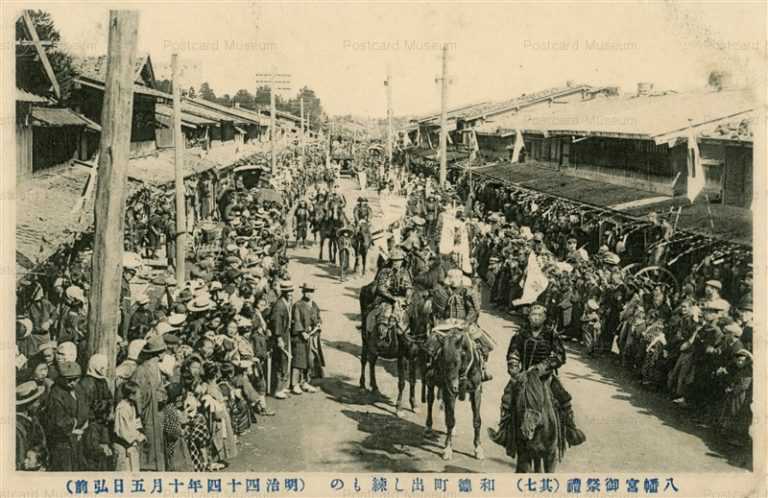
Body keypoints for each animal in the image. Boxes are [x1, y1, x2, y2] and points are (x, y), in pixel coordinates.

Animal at [424, 324, 484, 462]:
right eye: (442, 361)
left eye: (457, 361)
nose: (453, 386)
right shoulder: (449, 392)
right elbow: (450, 420)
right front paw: (448, 449)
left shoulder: (476, 390)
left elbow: (477, 420)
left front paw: (478, 448)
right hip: (431, 383)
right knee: (430, 402)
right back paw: (428, 427)